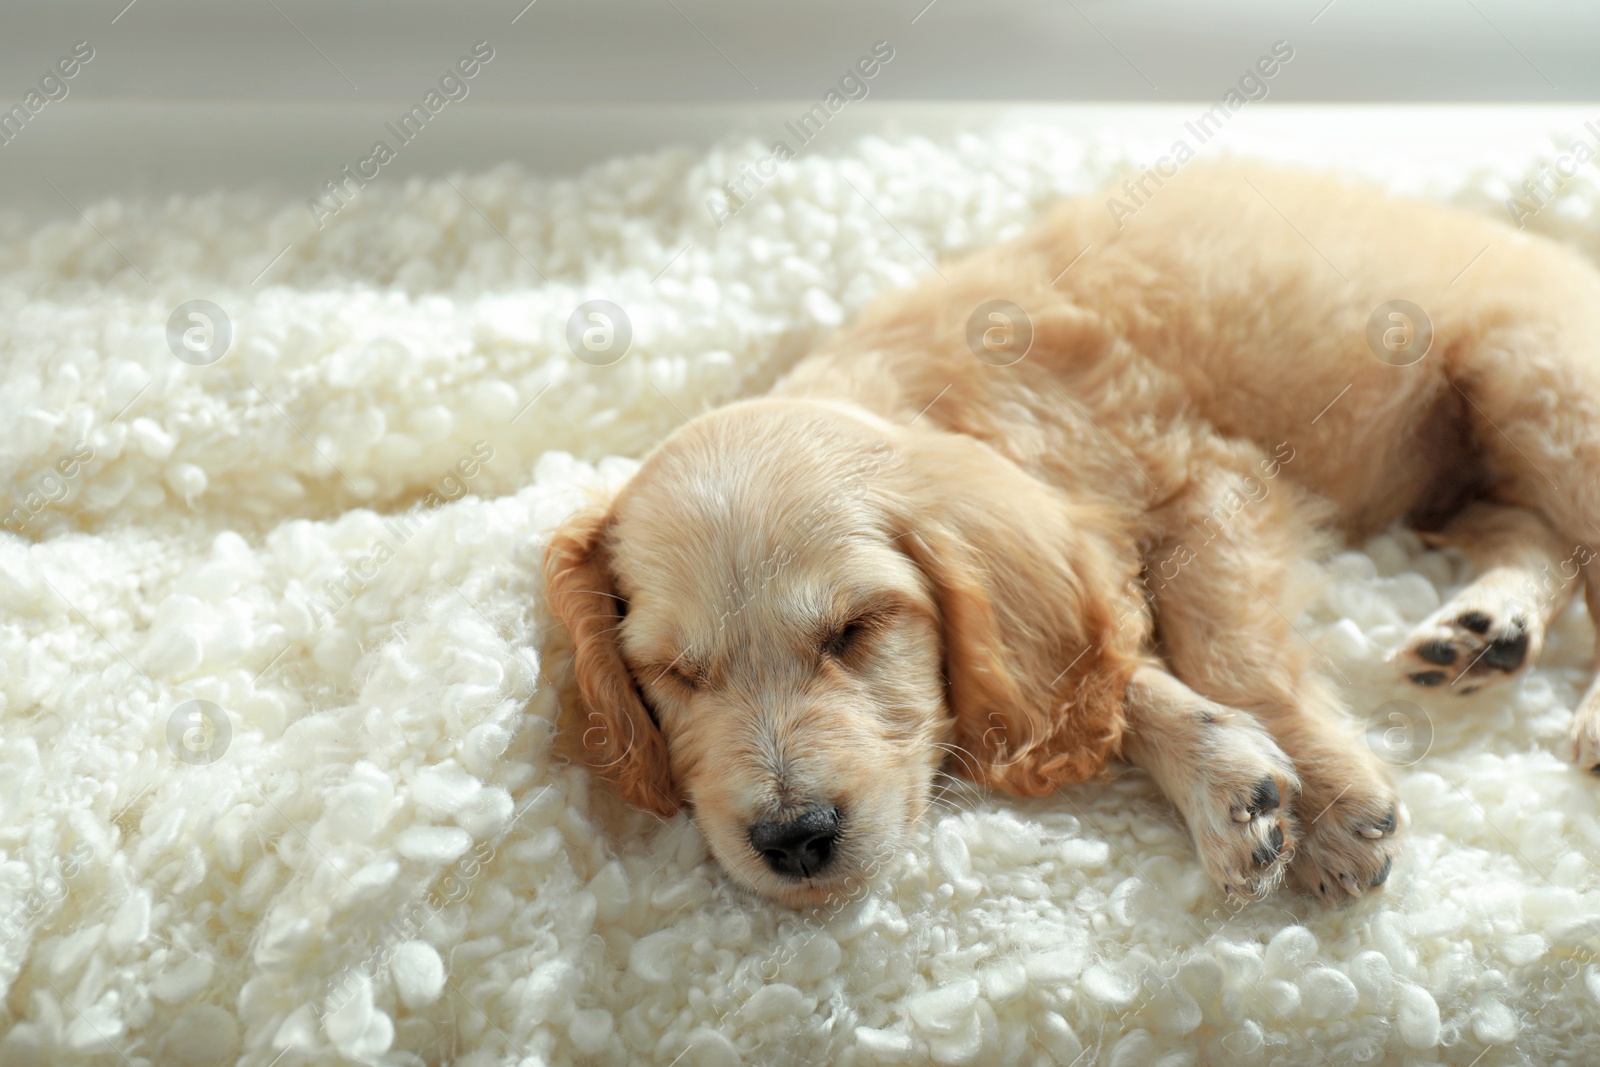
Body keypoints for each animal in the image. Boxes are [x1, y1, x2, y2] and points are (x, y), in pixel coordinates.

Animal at [544, 163, 1600, 908]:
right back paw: (1485, 629)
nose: (795, 837)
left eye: (857, 629)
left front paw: (1334, 803)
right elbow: (1106, 673)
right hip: (1458, 474)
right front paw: (1228, 781)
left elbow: (1225, 646)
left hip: (1534, 382)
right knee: (1534, 529)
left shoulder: (1204, 482)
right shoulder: (1082, 564)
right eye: (674, 675)